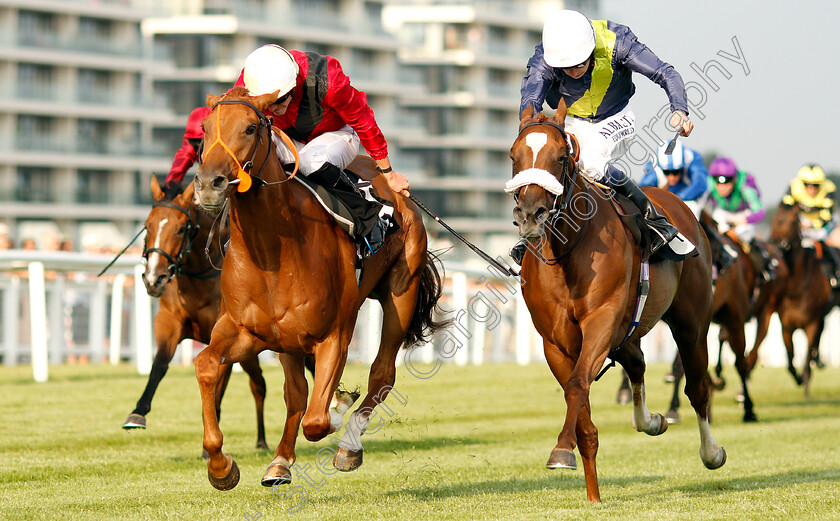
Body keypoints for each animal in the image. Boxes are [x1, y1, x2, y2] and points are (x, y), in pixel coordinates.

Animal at [121, 176, 270, 450]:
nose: (153, 279)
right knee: (258, 383)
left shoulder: (224, 334)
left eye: (181, 229)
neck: (198, 279)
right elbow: (159, 364)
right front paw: (137, 413)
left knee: (265, 383)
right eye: (147, 226)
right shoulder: (169, 322)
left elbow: (218, 383)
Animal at [191, 87, 446, 490]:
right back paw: (280, 461)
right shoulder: (246, 330)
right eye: (205, 128)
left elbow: (318, 419)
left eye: (250, 128)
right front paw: (221, 466)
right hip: (288, 340)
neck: (273, 249)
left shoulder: (335, 335)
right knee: (296, 395)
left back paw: (349, 443)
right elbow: (206, 366)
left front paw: (340, 409)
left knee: (381, 374)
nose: (207, 185)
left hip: (400, 293)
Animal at [508, 103, 724, 502]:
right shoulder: (555, 342)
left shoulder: (601, 319)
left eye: (559, 157)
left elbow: (578, 385)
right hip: (627, 332)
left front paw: (561, 451)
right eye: (515, 157)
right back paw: (650, 420)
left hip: (691, 322)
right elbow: (580, 408)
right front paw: (591, 491)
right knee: (637, 363)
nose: (530, 214)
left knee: (697, 387)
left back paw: (711, 451)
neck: (566, 251)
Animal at [772, 201, 836, 396]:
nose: (777, 244)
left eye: (793, 222)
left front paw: (805, 380)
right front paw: (798, 377)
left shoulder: (811, 324)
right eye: (776, 220)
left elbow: (807, 353)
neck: (797, 287)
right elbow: (790, 357)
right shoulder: (786, 326)